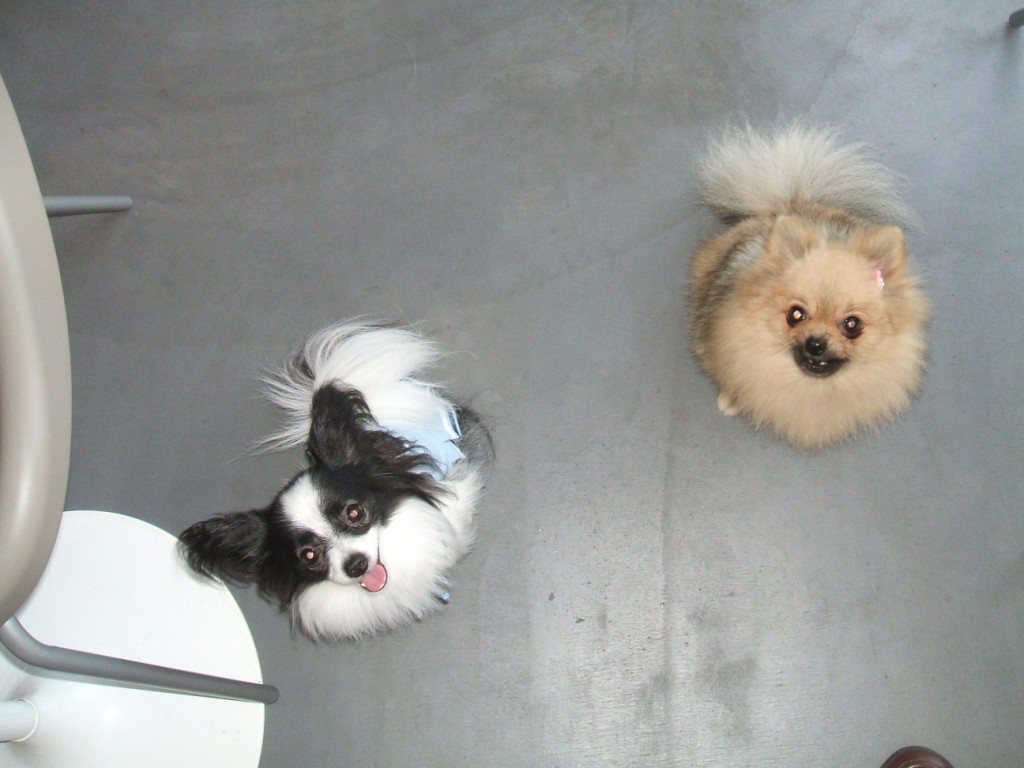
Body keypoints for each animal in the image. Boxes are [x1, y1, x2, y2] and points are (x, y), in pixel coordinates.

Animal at [689, 122, 931, 449]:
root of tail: (790, 203)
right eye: (796, 314)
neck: (811, 390)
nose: (816, 344)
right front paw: (732, 398)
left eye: (852, 324)